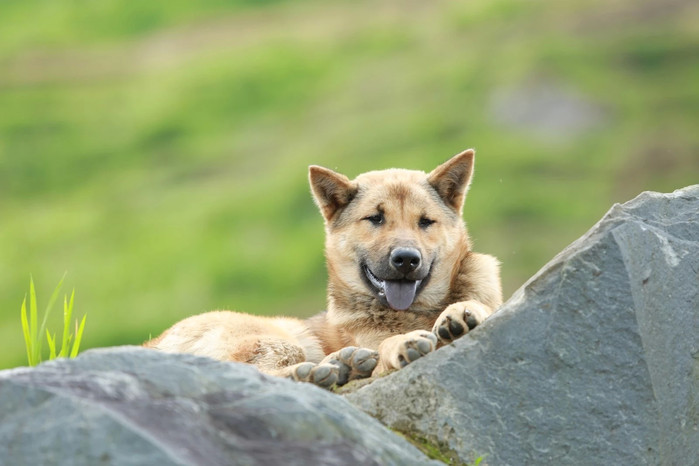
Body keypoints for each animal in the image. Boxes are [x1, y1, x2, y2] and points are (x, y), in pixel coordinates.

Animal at [145, 149, 504, 386]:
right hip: (277, 337)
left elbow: (476, 304)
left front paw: (458, 314)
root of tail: (150, 344)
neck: (416, 313)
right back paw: (317, 372)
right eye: (375, 218)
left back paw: (346, 364)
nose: (405, 259)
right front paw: (402, 343)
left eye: (425, 221)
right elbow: (388, 345)